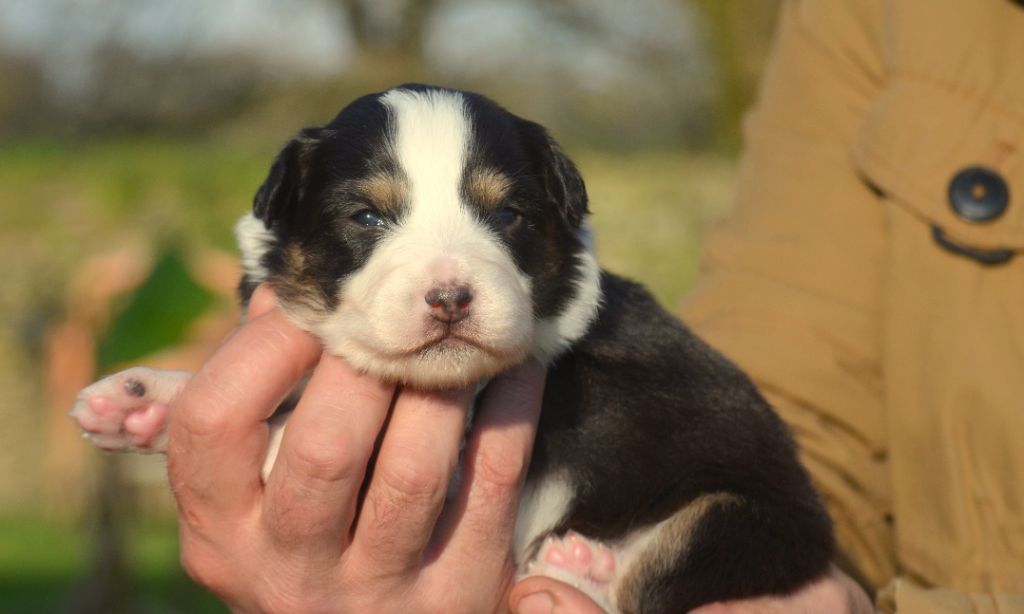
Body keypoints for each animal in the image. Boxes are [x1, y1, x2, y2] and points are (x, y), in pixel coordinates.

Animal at [75, 84, 835, 614]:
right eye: (367, 217)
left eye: (507, 213)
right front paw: (139, 402)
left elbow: (289, 433)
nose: (450, 298)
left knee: (647, 583)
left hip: (745, 519)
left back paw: (577, 570)